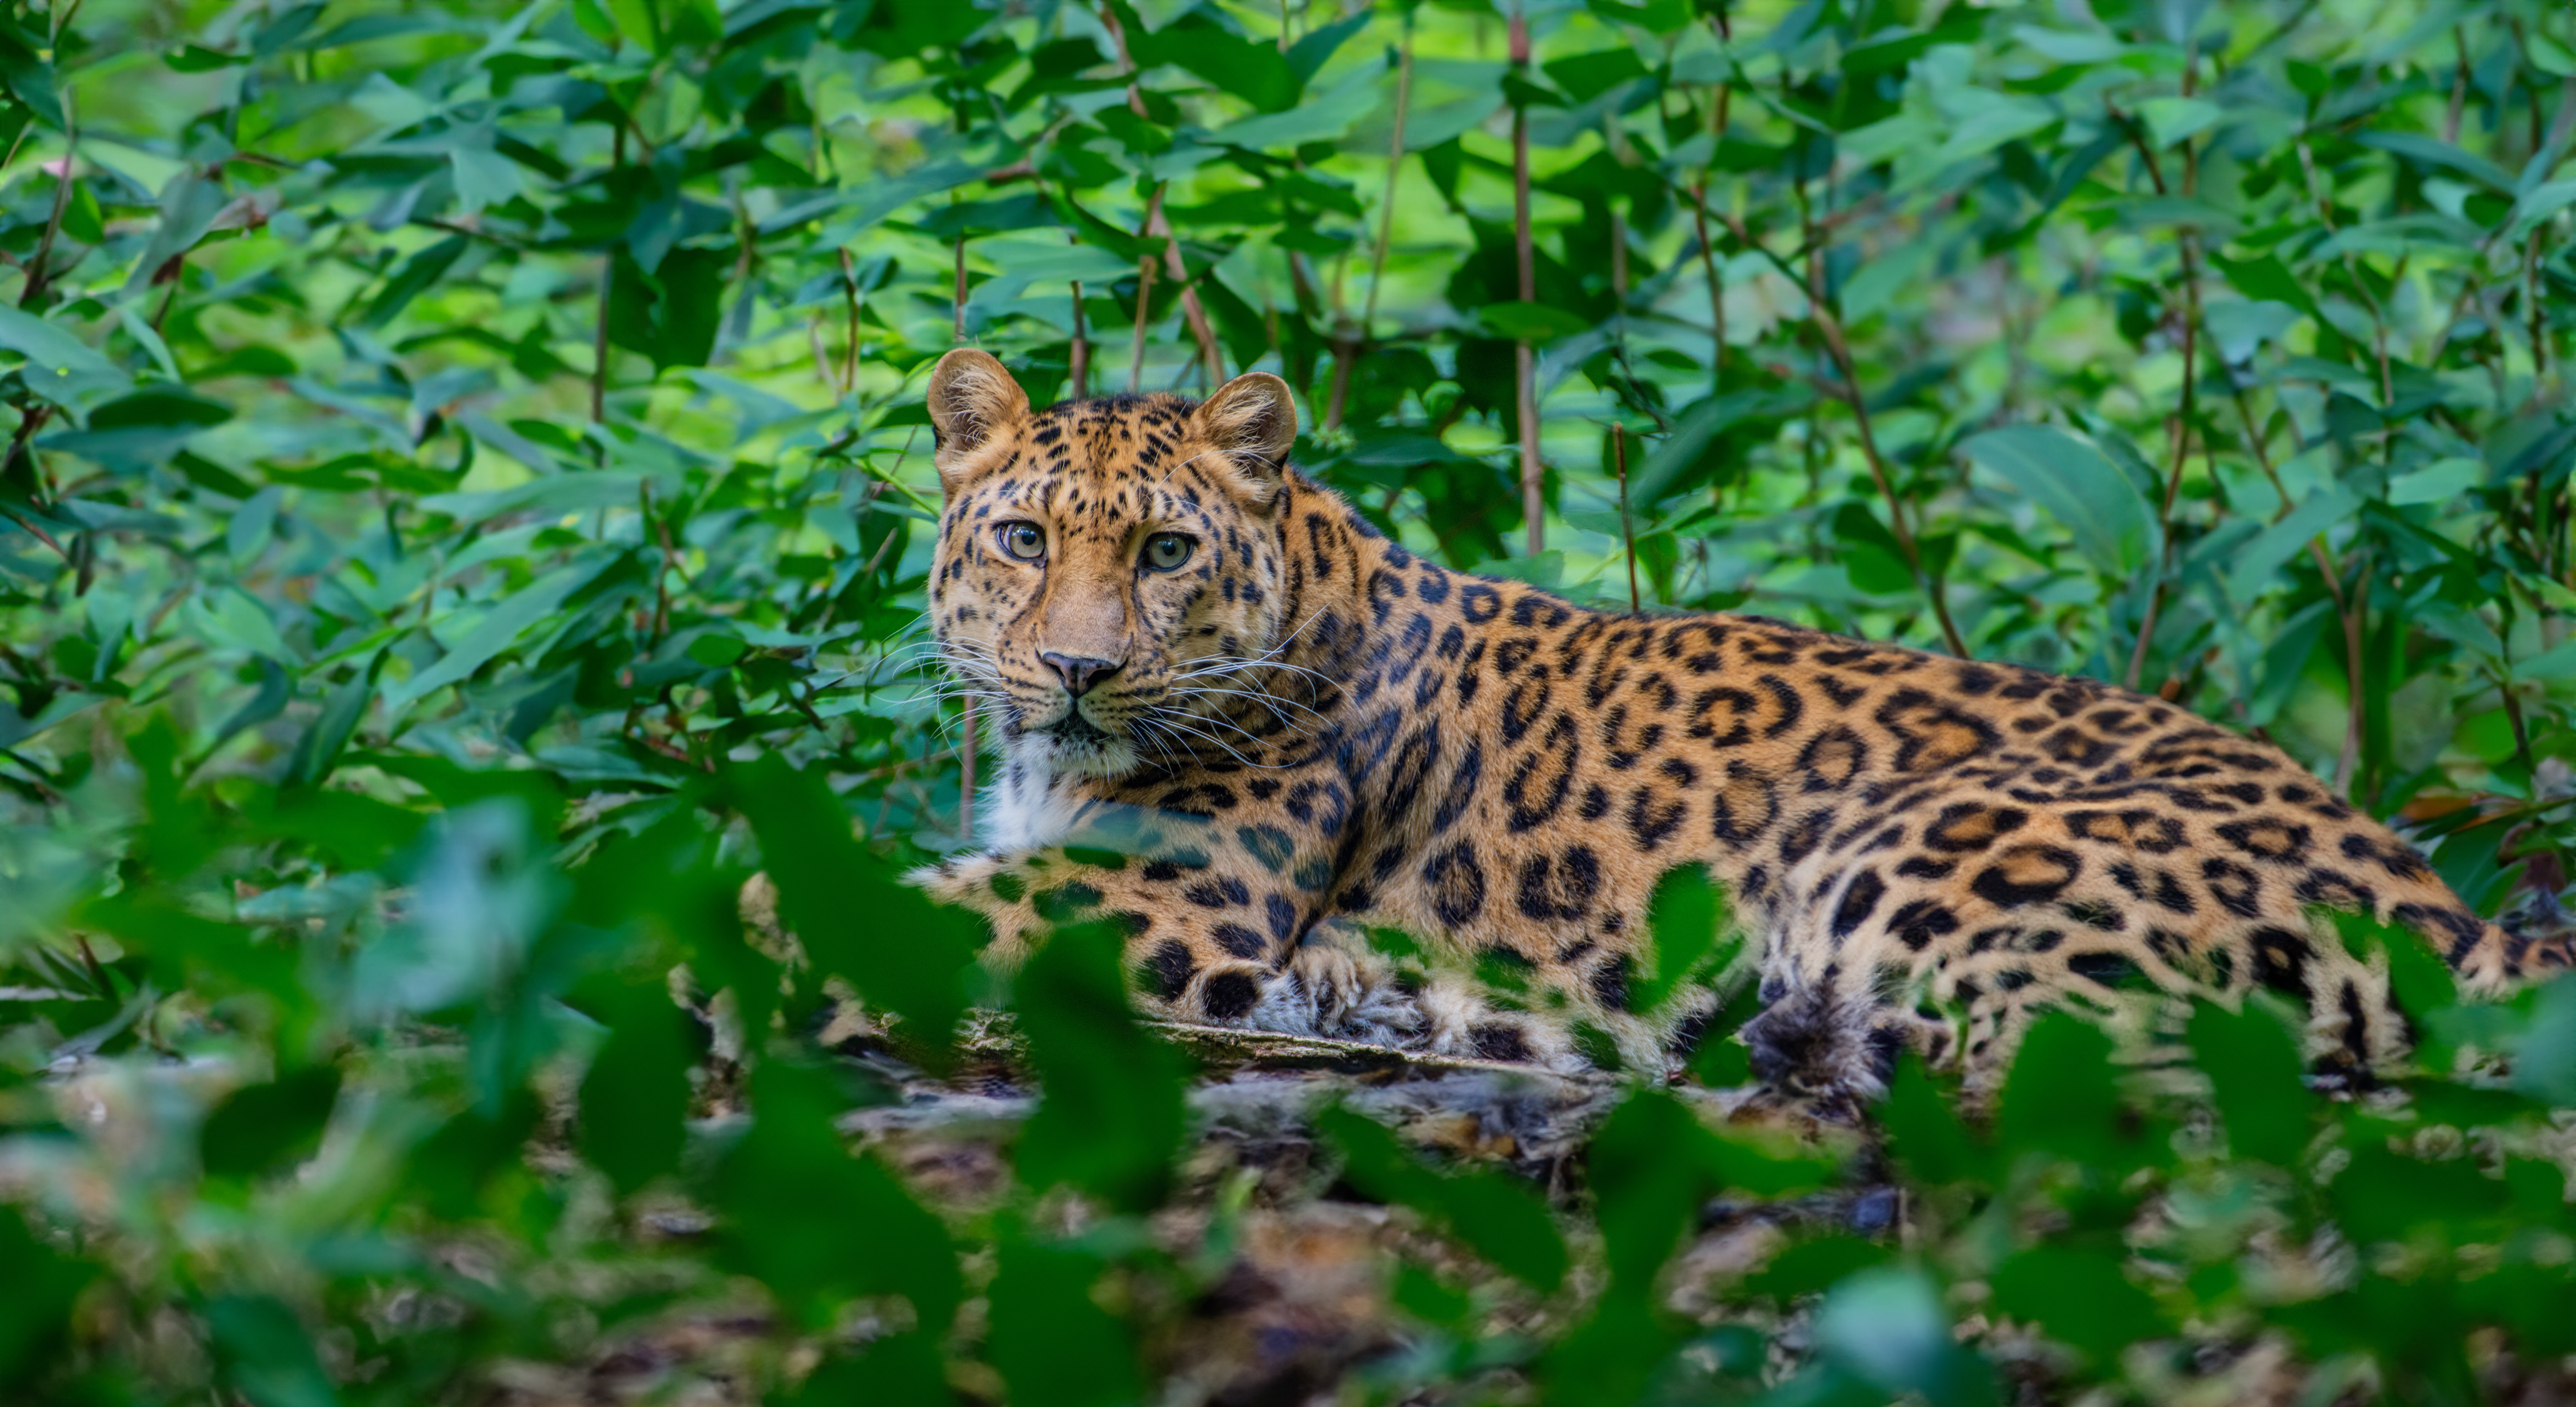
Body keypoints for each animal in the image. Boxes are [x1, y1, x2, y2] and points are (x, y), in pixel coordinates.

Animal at [901, 345, 2555, 1103]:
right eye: (1024, 542)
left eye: (1167, 553)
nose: (1077, 671)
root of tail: (2435, 898)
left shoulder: (1159, 897)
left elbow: (879, 911)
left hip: (1919, 850)